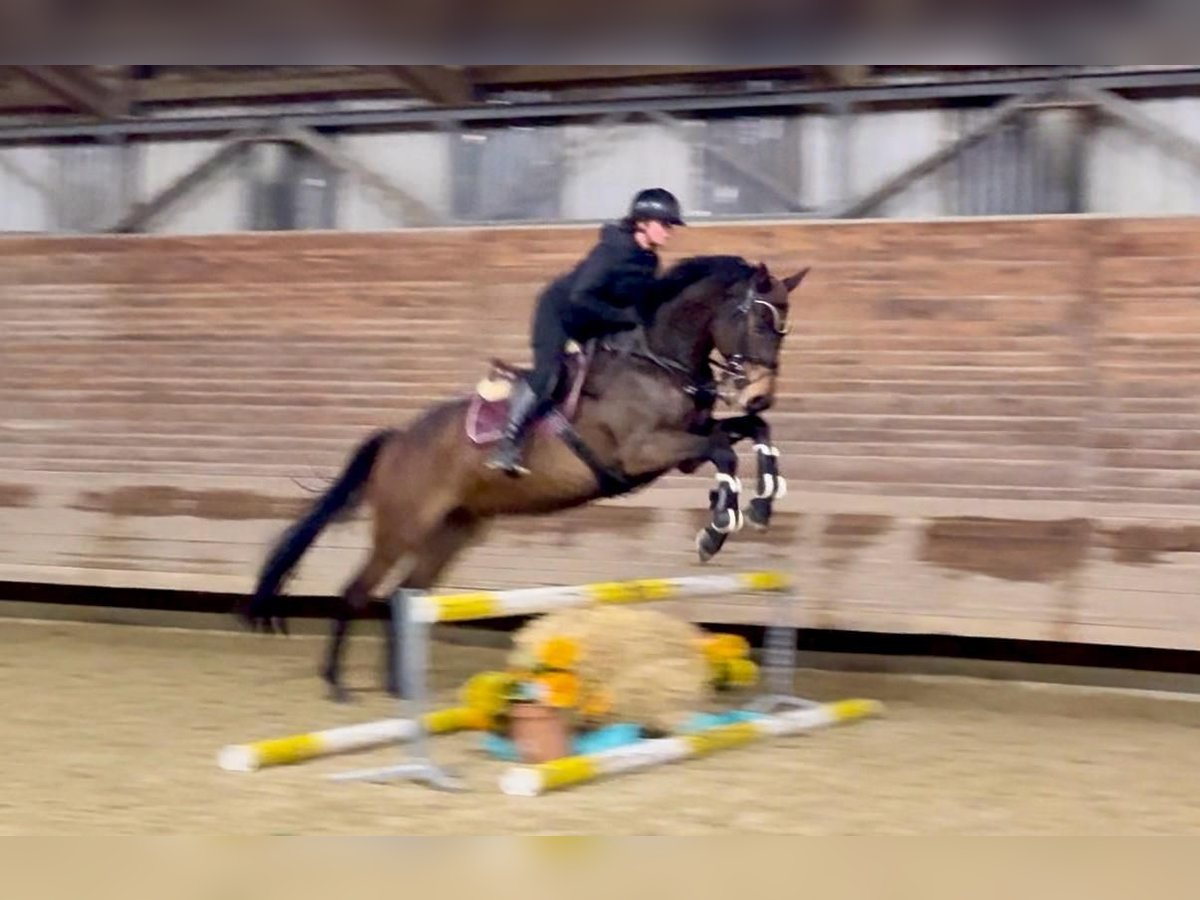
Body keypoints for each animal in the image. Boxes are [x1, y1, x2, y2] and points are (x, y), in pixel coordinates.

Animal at [241, 255, 809, 701]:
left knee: (407, 594)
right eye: (760, 324)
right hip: (402, 527)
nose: (761, 394)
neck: (656, 360)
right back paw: (336, 682)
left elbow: (746, 435)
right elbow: (723, 451)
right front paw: (717, 529)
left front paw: (761, 502)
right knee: (359, 591)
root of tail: (397, 440)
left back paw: (401, 688)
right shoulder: (645, 451)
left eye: (785, 328)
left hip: (454, 530)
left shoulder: (681, 451)